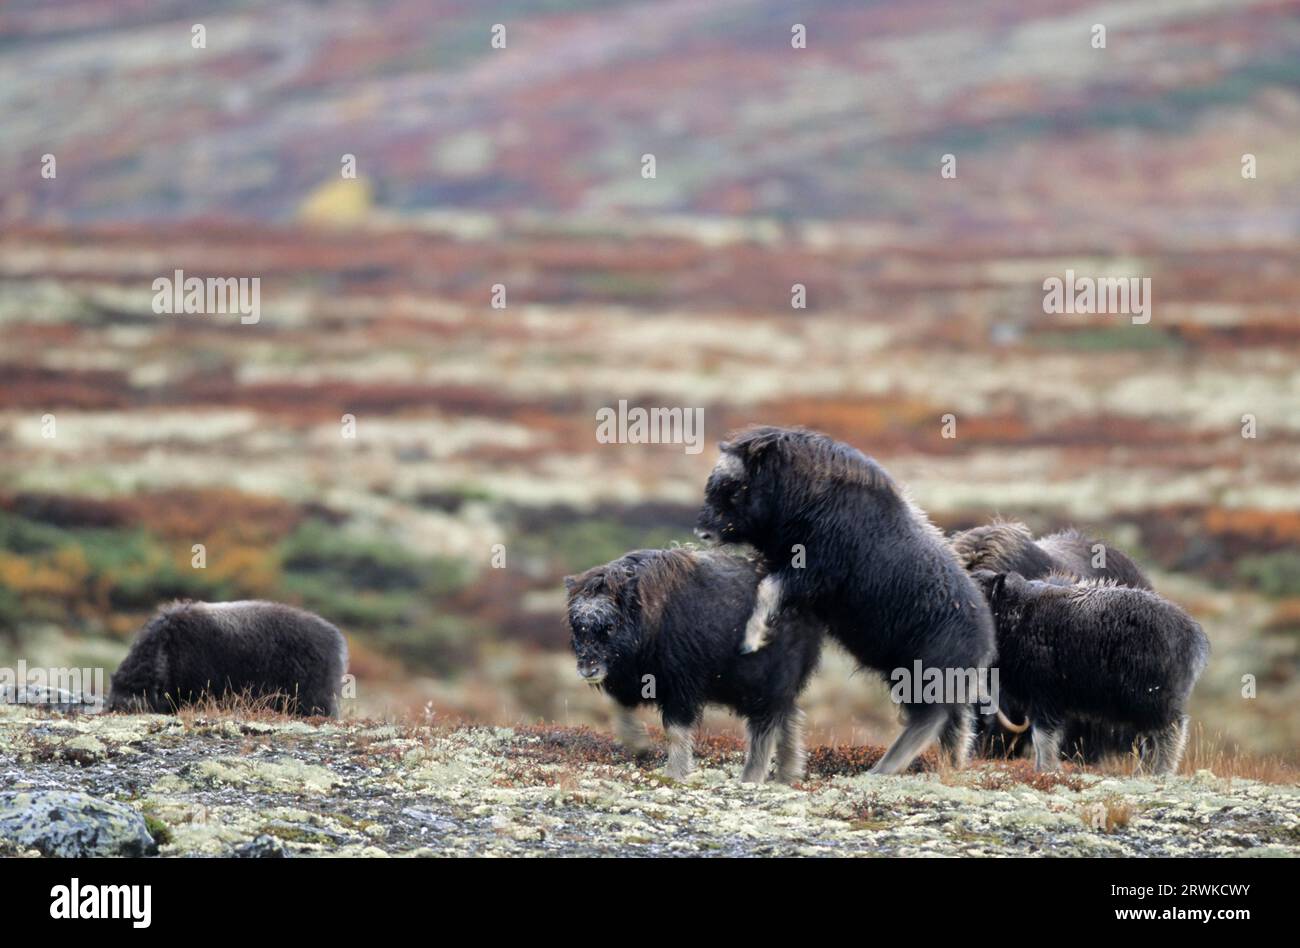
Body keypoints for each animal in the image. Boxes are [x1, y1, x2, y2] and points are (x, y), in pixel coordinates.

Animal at [564, 546, 816, 785]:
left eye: (610, 626)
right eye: (576, 625)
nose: (588, 670)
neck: (650, 618)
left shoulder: (681, 686)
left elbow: (676, 730)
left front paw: (674, 773)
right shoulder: (627, 682)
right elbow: (617, 709)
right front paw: (640, 746)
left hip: (764, 683)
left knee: (765, 724)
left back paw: (752, 777)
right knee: (788, 715)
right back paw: (788, 774)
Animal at [702, 426, 993, 775]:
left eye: (735, 487)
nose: (703, 531)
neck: (802, 494)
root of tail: (986, 642)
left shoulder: (813, 570)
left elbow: (769, 588)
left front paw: (751, 639)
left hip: (923, 675)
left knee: (930, 720)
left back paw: (883, 768)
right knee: (956, 724)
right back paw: (951, 766)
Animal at [967, 572, 1206, 775]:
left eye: (980, 588)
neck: (1016, 614)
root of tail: (1191, 633)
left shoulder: (1045, 696)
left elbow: (1042, 736)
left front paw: (1046, 770)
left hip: (1151, 698)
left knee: (1170, 730)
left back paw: (1161, 772)